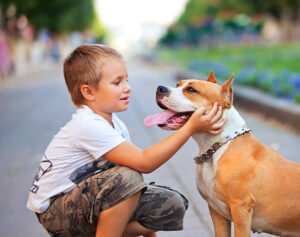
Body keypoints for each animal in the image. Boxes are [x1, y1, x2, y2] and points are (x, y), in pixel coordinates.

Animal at [143, 72, 300, 237]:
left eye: (191, 90)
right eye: (177, 84)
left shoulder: (241, 210)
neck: (215, 148)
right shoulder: (216, 211)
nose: (160, 88)